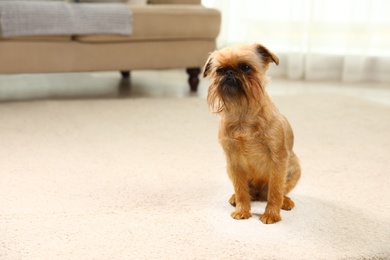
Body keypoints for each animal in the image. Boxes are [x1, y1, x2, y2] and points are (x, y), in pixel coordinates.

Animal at [203, 42, 300, 223]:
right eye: (219, 70)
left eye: (246, 67)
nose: (229, 72)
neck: (243, 111)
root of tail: (259, 194)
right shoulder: (233, 161)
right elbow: (241, 189)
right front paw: (242, 210)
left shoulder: (278, 159)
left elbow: (275, 190)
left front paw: (271, 214)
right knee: (247, 192)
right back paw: (236, 198)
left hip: (294, 168)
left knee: (280, 191)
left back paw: (285, 201)